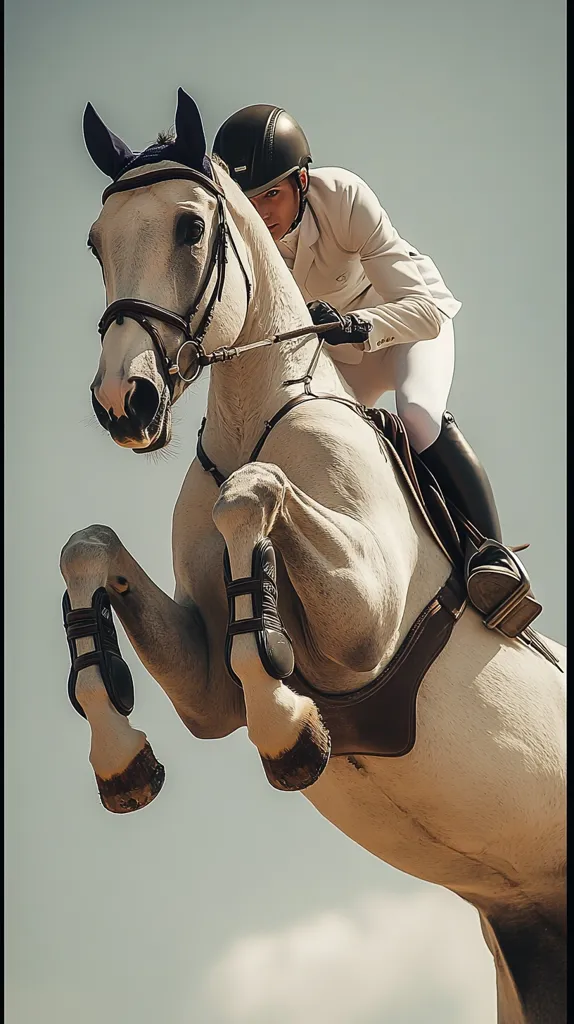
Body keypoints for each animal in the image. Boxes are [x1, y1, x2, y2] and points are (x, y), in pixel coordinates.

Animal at [60, 89, 566, 1024]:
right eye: (95, 240)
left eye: (190, 227)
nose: (125, 402)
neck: (258, 413)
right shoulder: (205, 692)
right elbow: (90, 548)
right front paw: (121, 757)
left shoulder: (366, 622)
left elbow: (248, 497)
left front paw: (288, 729)